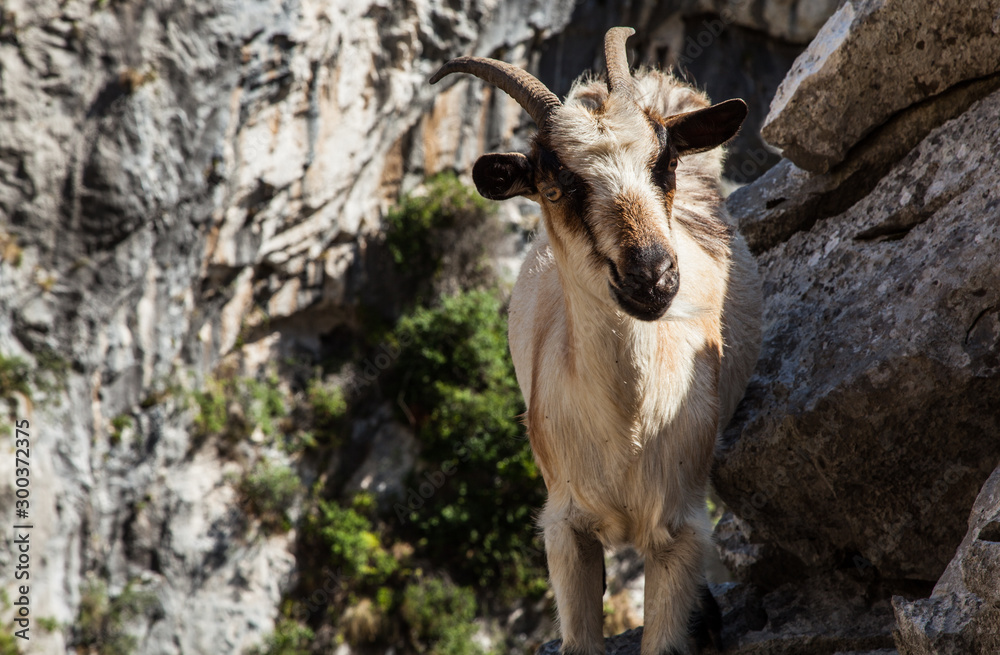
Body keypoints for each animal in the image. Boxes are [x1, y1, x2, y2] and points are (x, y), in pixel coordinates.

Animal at [430, 27, 761, 655]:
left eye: (664, 163)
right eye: (557, 184)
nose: (651, 277)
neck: (627, 427)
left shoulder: (677, 526)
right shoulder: (565, 527)